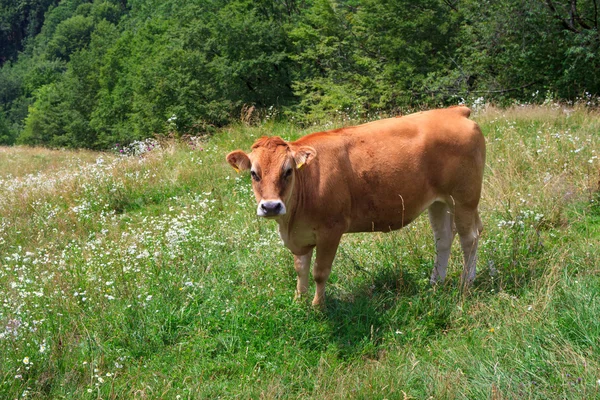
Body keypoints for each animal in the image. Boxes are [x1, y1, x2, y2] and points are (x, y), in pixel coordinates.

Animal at [227, 106, 486, 306]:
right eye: (254, 174)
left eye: (288, 171)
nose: (271, 206)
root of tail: (454, 111)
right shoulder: (301, 236)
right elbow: (300, 269)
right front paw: (298, 301)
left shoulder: (331, 230)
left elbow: (319, 273)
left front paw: (318, 306)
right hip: (440, 202)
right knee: (444, 238)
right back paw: (435, 283)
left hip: (465, 198)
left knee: (469, 238)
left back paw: (466, 284)